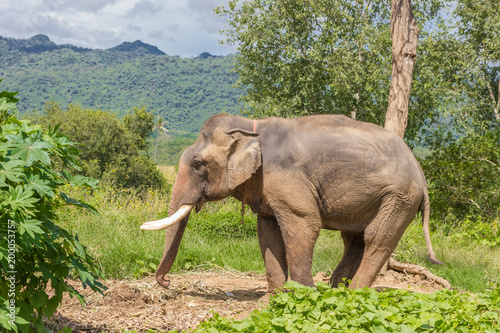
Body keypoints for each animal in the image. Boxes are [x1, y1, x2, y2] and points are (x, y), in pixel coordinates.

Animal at [141, 114, 442, 290]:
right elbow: (267, 231)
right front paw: (272, 300)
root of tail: (420, 171)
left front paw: (303, 295)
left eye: (197, 164)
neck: (250, 126)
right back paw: (336, 290)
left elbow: (303, 225)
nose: (166, 282)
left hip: (400, 198)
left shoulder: (286, 178)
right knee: (354, 239)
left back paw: (354, 293)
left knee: (376, 239)